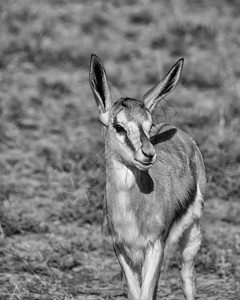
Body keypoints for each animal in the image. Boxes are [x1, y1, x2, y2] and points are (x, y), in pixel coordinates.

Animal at [89, 54, 205, 300]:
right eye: (119, 126)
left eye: (149, 125)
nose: (149, 154)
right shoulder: (122, 249)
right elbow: (136, 294)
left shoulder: (155, 246)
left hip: (192, 233)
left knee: (187, 275)